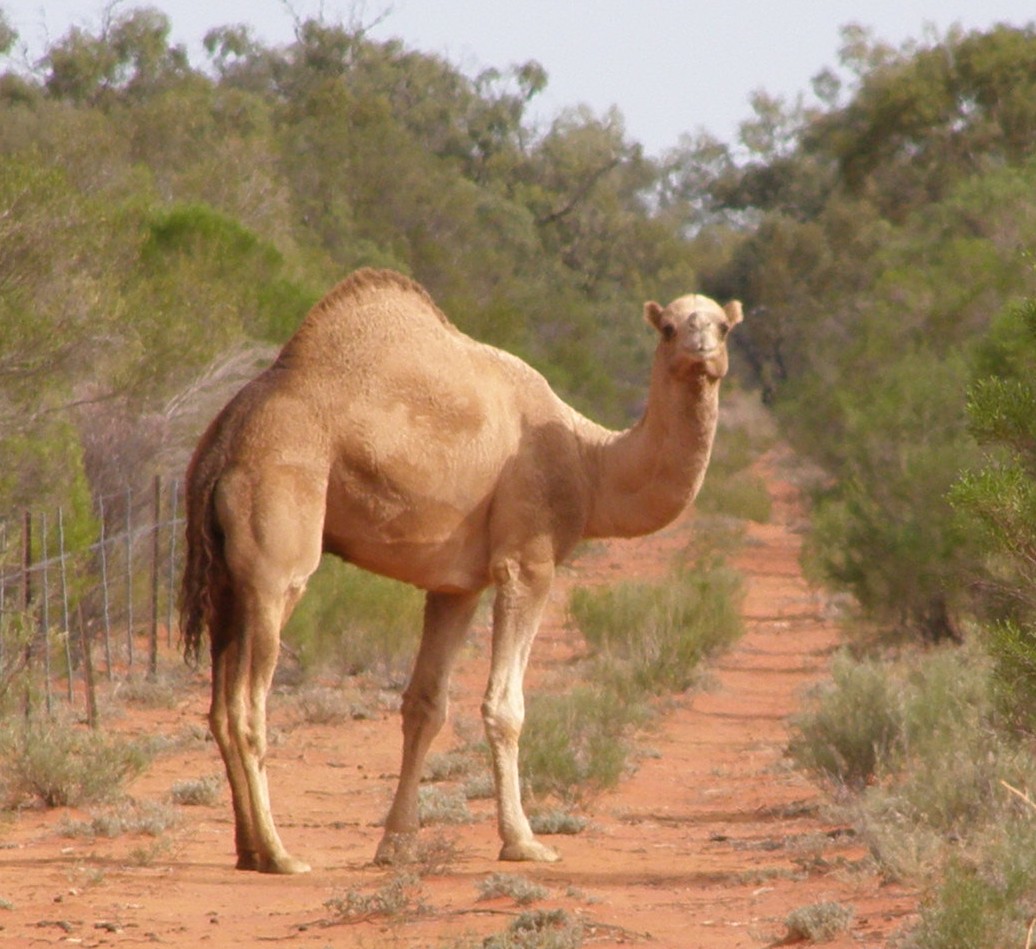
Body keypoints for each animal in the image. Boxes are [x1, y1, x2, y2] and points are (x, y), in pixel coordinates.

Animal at [180, 267, 742, 873]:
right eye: (668, 328)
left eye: (723, 326)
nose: (701, 350)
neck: (590, 464)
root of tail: (221, 444)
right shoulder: (527, 559)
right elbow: (506, 706)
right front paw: (523, 841)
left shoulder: (457, 585)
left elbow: (425, 704)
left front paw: (397, 843)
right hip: (277, 543)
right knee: (248, 705)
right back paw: (281, 854)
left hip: (223, 581)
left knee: (219, 707)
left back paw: (248, 850)